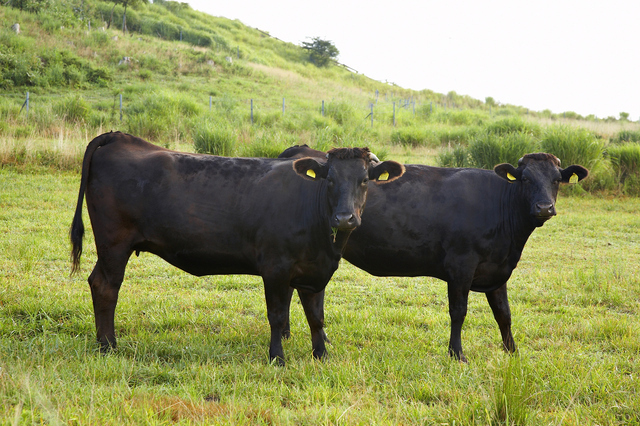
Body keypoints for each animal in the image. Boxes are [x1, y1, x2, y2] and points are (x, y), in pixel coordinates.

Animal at [71, 131, 404, 364]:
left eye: (365, 180)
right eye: (330, 179)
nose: (345, 218)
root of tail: (121, 137)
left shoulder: (315, 271)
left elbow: (316, 317)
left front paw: (321, 355)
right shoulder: (275, 268)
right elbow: (277, 315)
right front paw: (277, 358)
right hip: (114, 243)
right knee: (106, 286)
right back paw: (108, 346)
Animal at [278, 148, 588, 362]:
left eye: (556, 180)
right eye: (525, 178)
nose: (544, 207)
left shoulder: (498, 270)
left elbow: (504, 314)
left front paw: (513, 352)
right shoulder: (461, 266)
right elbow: (459, 312)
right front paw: (457, 354)